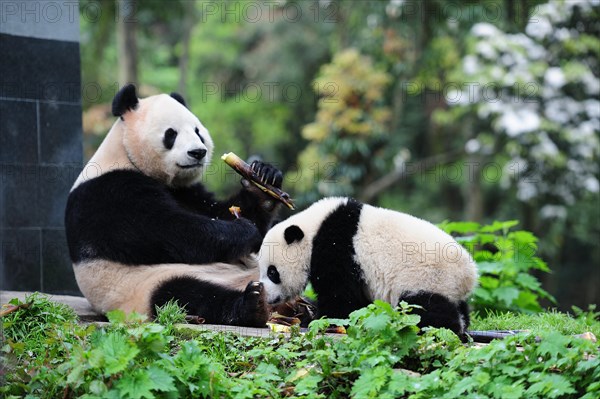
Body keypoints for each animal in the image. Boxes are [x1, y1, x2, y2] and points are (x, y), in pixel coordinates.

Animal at [67, 84, 282, 328]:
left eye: (198, 131)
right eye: (171, 134)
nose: (198, 152)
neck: (126, 154)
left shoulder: (187, 191)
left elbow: (218, 211)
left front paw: (263, 181)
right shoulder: (109, 194)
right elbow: (168, 230)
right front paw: (243, 230)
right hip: (146, 286)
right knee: (186, 295)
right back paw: (253, 305)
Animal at [258, 198, 478, 336]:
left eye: (272, 272)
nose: (267, 297)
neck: (315, 228)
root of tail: (469, 276)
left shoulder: (338, 249)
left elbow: (340, 296)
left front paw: (314, 318)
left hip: (426, 279)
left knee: (422, 309)